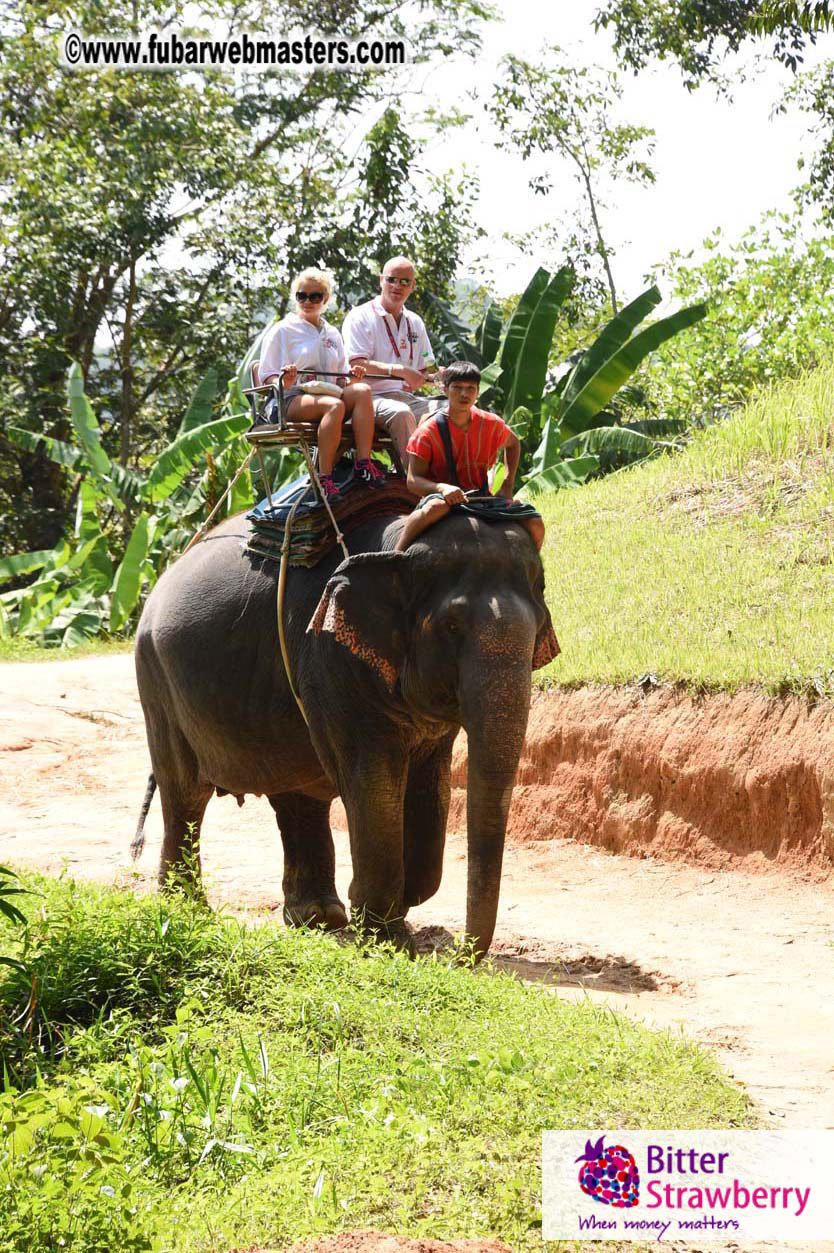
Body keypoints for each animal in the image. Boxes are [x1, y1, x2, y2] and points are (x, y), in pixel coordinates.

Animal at [133, 503, 558, 958]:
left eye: (538, 626)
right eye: (452, 627)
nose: (461, 957)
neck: (396, 549)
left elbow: (431, 787)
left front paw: (398, 906)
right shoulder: (329, 655)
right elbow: (373, 781)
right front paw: (388, 939)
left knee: (298, 797)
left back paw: (319, 918)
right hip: (156, 682)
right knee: (185, 794)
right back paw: (187, 912)